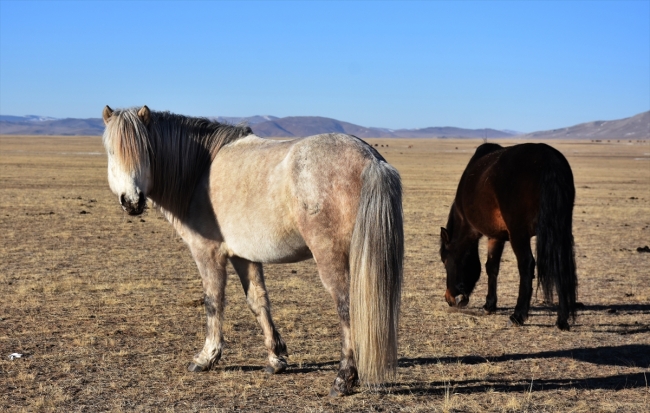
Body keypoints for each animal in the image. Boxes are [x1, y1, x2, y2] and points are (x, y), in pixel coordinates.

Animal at [102, 104, 400, 394]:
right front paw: (276, 358)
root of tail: (370, 158)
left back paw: (343, 378)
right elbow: (258, 301)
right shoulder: (243, 256)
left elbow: (213, 301)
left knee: (346, 307)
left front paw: (206, 357)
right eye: (111, 151)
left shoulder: (207, 252)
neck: (198, 173)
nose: (132, 201)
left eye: (145, 151)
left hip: (332, 257)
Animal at [440, 143, 576, 330]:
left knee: (526, 265)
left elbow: (490, 267)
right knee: (561, 265)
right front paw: (490, 305)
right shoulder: (496, 236)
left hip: (519, 235)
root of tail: (547, 159)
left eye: (445, 261)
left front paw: (490, 305)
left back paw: (518, 315)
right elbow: (492, 267)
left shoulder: (494, 235)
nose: (450, 299)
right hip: (559, 230)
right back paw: (562, 319)